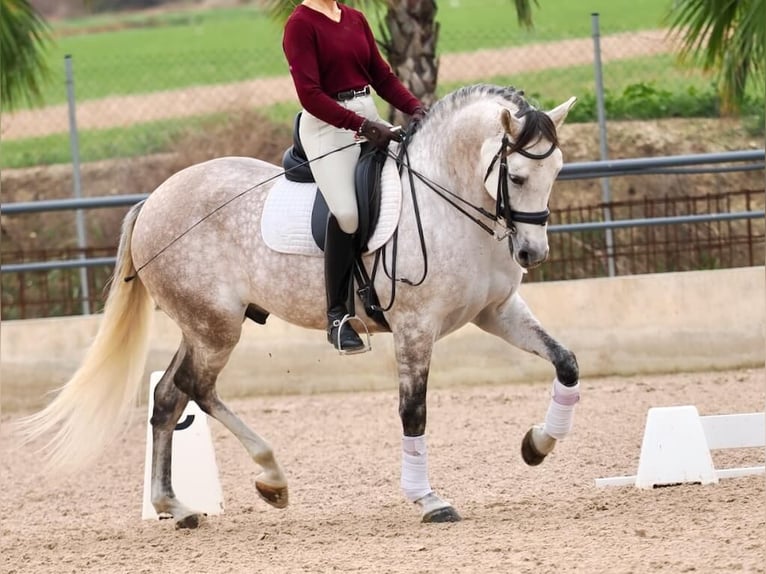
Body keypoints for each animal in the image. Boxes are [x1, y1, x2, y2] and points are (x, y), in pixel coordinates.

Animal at [19, 83, 584, 528]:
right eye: (516, 177)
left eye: (558, 169)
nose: (532, 253)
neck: (447, 199)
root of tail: (154, 198)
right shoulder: (415, 327)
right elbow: (413, 412)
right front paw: (428, 499)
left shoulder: (497, 311)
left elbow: (566, 362)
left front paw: (537, 445)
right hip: (216, 327)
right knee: (198, 389)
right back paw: (271, 478)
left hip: (199, 326)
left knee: (168, 396)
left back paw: (175, 507)